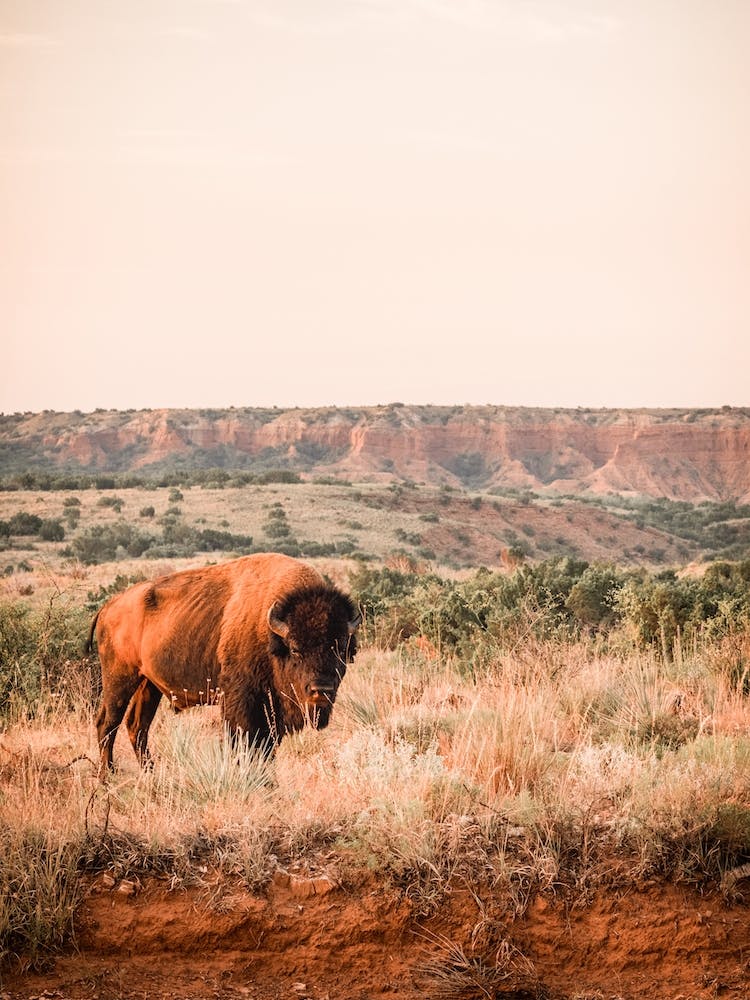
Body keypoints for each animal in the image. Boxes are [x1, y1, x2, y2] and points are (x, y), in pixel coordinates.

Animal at [88, 553, 361, 778]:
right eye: (295, 649)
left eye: (340, 649)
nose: (320, 690)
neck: (269, 631)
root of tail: (108, 607)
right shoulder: (241, 702)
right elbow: (245, 743)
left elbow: (267, 748)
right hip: (119, 679)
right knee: (108, 723)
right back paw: (106, 776)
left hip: (148, 685)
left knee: (137, 726)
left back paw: (150, 775)